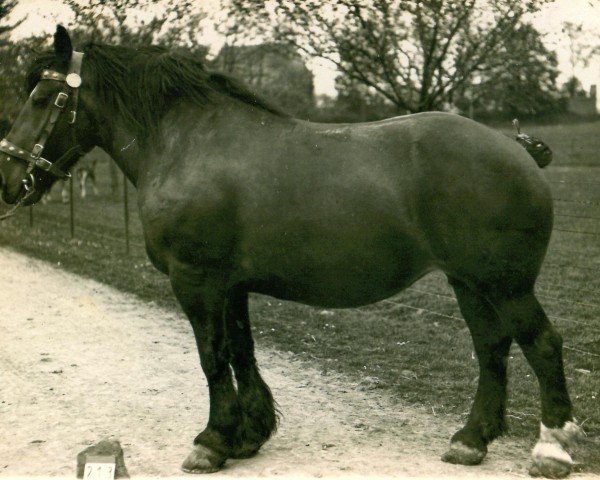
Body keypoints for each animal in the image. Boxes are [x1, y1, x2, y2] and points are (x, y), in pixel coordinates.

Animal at [0, 28, 580, 478]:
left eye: (41, 98)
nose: (8, 180)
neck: (188, 143)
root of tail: (516, 148)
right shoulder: (229, 285)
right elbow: (240, 352)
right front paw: (248, 435)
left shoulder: (196, 279)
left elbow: (212, 357)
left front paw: (211, 442)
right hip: (469, 282)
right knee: (492, 349)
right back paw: (471, 440)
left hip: (504, 284)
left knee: (542, 345)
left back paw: (551, 449)